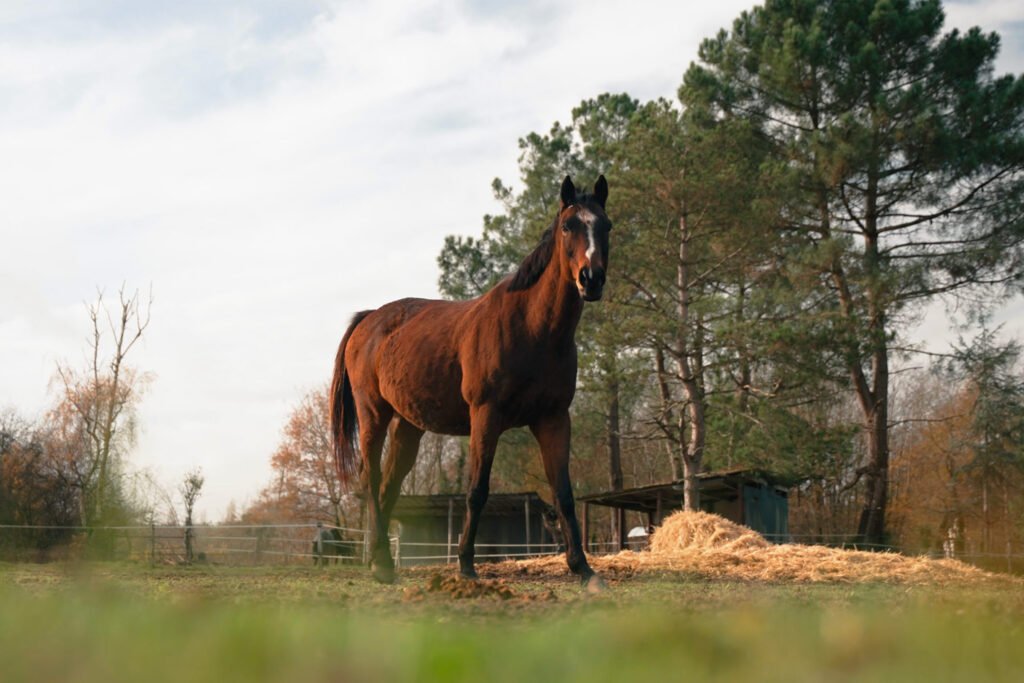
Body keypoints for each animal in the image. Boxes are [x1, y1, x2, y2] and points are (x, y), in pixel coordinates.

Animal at [330, 175, 611, 590]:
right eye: (567, 226)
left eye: (606, 226)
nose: (590, 279)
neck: (532, 328)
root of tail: (370, 319)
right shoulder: (485, 417)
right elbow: (477, 490)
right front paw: (465, 565)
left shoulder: (554, 419)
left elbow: (563, 492)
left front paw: (584, 569)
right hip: (373, 415)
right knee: (371, 480)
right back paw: (380, 564)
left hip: (408, 426)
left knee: (388, 485)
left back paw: (383, 562)